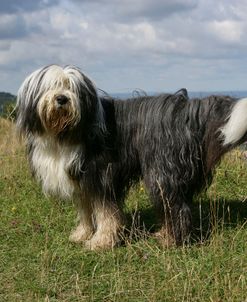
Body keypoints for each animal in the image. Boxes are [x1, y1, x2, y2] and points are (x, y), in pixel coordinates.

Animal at [14, 65, 247, 250]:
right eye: (51, 85)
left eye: (72, 87)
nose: (61, 99)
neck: (65, 134)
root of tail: (184, 107)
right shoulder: (81, 182)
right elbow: (86, 211)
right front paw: (82, 234)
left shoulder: (101, 177)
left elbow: (106, 214)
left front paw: (100, 242)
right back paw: (164, 233)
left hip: (162, 171)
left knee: (177, 207)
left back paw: (172, 241)